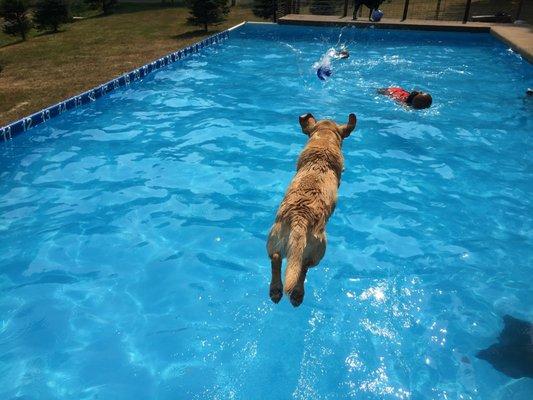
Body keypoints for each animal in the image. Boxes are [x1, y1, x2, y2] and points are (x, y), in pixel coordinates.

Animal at [264, 112, 356, 306]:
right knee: (304, 267)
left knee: (276, 259)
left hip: (273, 239)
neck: (323, 146)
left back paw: (275, 290)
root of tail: (299, 219)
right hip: (319, 249)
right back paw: (297, 294)